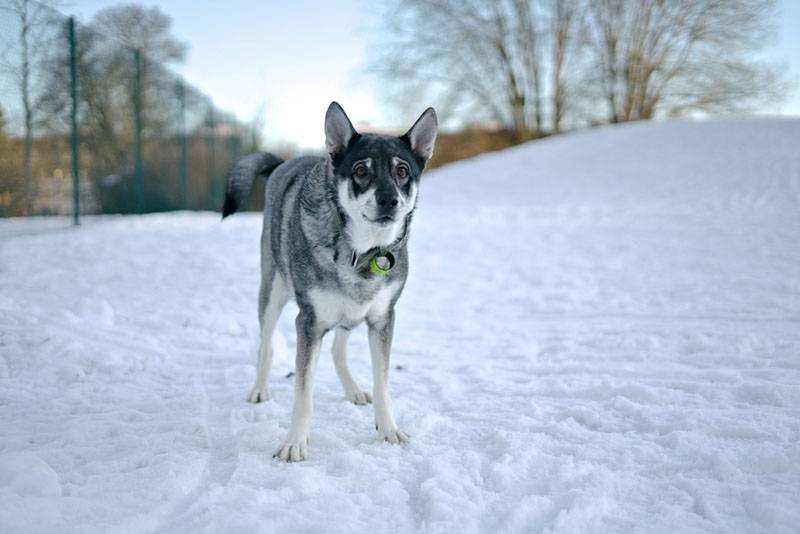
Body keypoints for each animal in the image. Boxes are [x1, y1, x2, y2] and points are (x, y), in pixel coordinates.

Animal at [222, 102, 438, 462]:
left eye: (402, 171)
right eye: (361, 171)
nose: (389, 201)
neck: (361, 251)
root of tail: (283, 163)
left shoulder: (382, 319)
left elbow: (383, 383)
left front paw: (388, 430)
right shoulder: (308, 322)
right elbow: (303, 392)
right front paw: (294, 443)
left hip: (348, 313)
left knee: (338, 348)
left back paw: (352, 389)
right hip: (272, 293)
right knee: (266, 345)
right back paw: (259, 389)